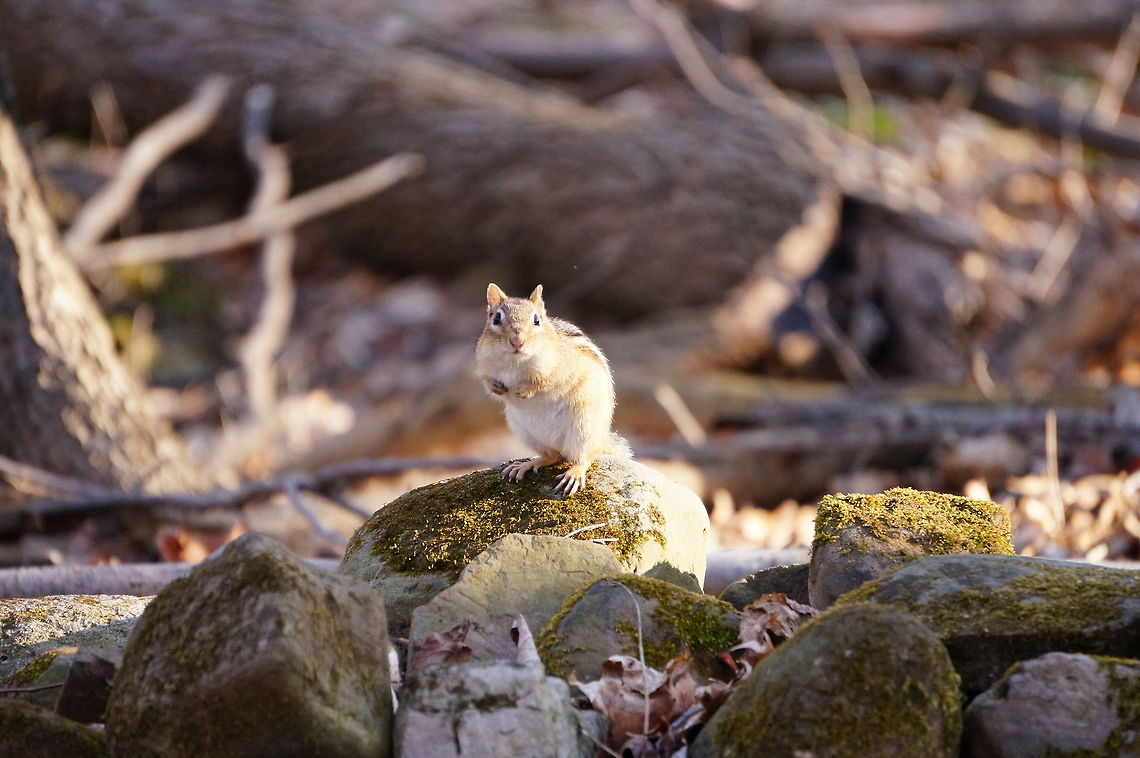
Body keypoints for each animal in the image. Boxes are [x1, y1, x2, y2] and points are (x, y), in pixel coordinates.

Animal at [475, 283, 631, 496]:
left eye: (536, 320)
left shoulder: (560, 367)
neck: (515, 362)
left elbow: (545, 380)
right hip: (525, 432)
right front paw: (497, 387)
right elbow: (486, 381)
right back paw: (526, 465)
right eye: (496, 318)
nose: (517, 342)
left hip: (584, 427)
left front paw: (525, 390)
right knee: (553, 456)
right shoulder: (483, 364)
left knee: (583, 458)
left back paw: (574, 474)